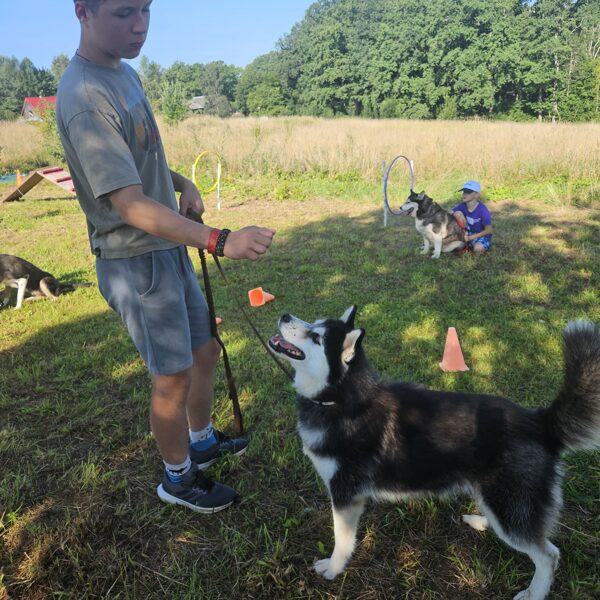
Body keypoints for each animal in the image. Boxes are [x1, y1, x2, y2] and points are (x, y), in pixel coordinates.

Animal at [269, 306, 600, 600]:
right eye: (313, 322)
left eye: (316, 338)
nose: (284, 315)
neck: (341, 400)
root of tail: (539, 421)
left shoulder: (345, 494)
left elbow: (342, 539)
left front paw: (334, 568)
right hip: (497, 497)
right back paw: (483, 522)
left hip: (511, 505)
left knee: (548, 554)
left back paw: (535, 592)